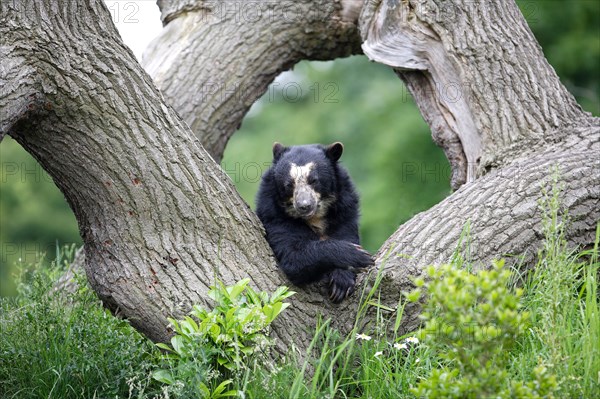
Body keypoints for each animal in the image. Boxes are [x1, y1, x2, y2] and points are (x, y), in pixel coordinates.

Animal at [255, 142, 372, 302]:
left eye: (314, 180)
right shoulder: (274, 215)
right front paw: (359, 255)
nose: (304, 205)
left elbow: (346, 234)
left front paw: (341, 284)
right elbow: (294, 255)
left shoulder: (345, 212)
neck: (315, 217)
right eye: (289, 184)